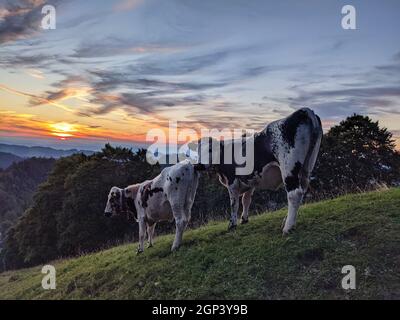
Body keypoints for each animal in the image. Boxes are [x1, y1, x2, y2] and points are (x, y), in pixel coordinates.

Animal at [195, 107, 324, 235]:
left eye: (211, 149)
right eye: (198, 150)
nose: (199, 165)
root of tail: (304, 110)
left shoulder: (232, 181)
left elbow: (234, 203)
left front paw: (232, 224)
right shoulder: (250, 180)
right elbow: (246, 200)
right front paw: (244, 219)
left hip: (289, 167)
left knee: (294, 194)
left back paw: (287, 227)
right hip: (307, 165)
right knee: (303, 188)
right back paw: (286, 221)